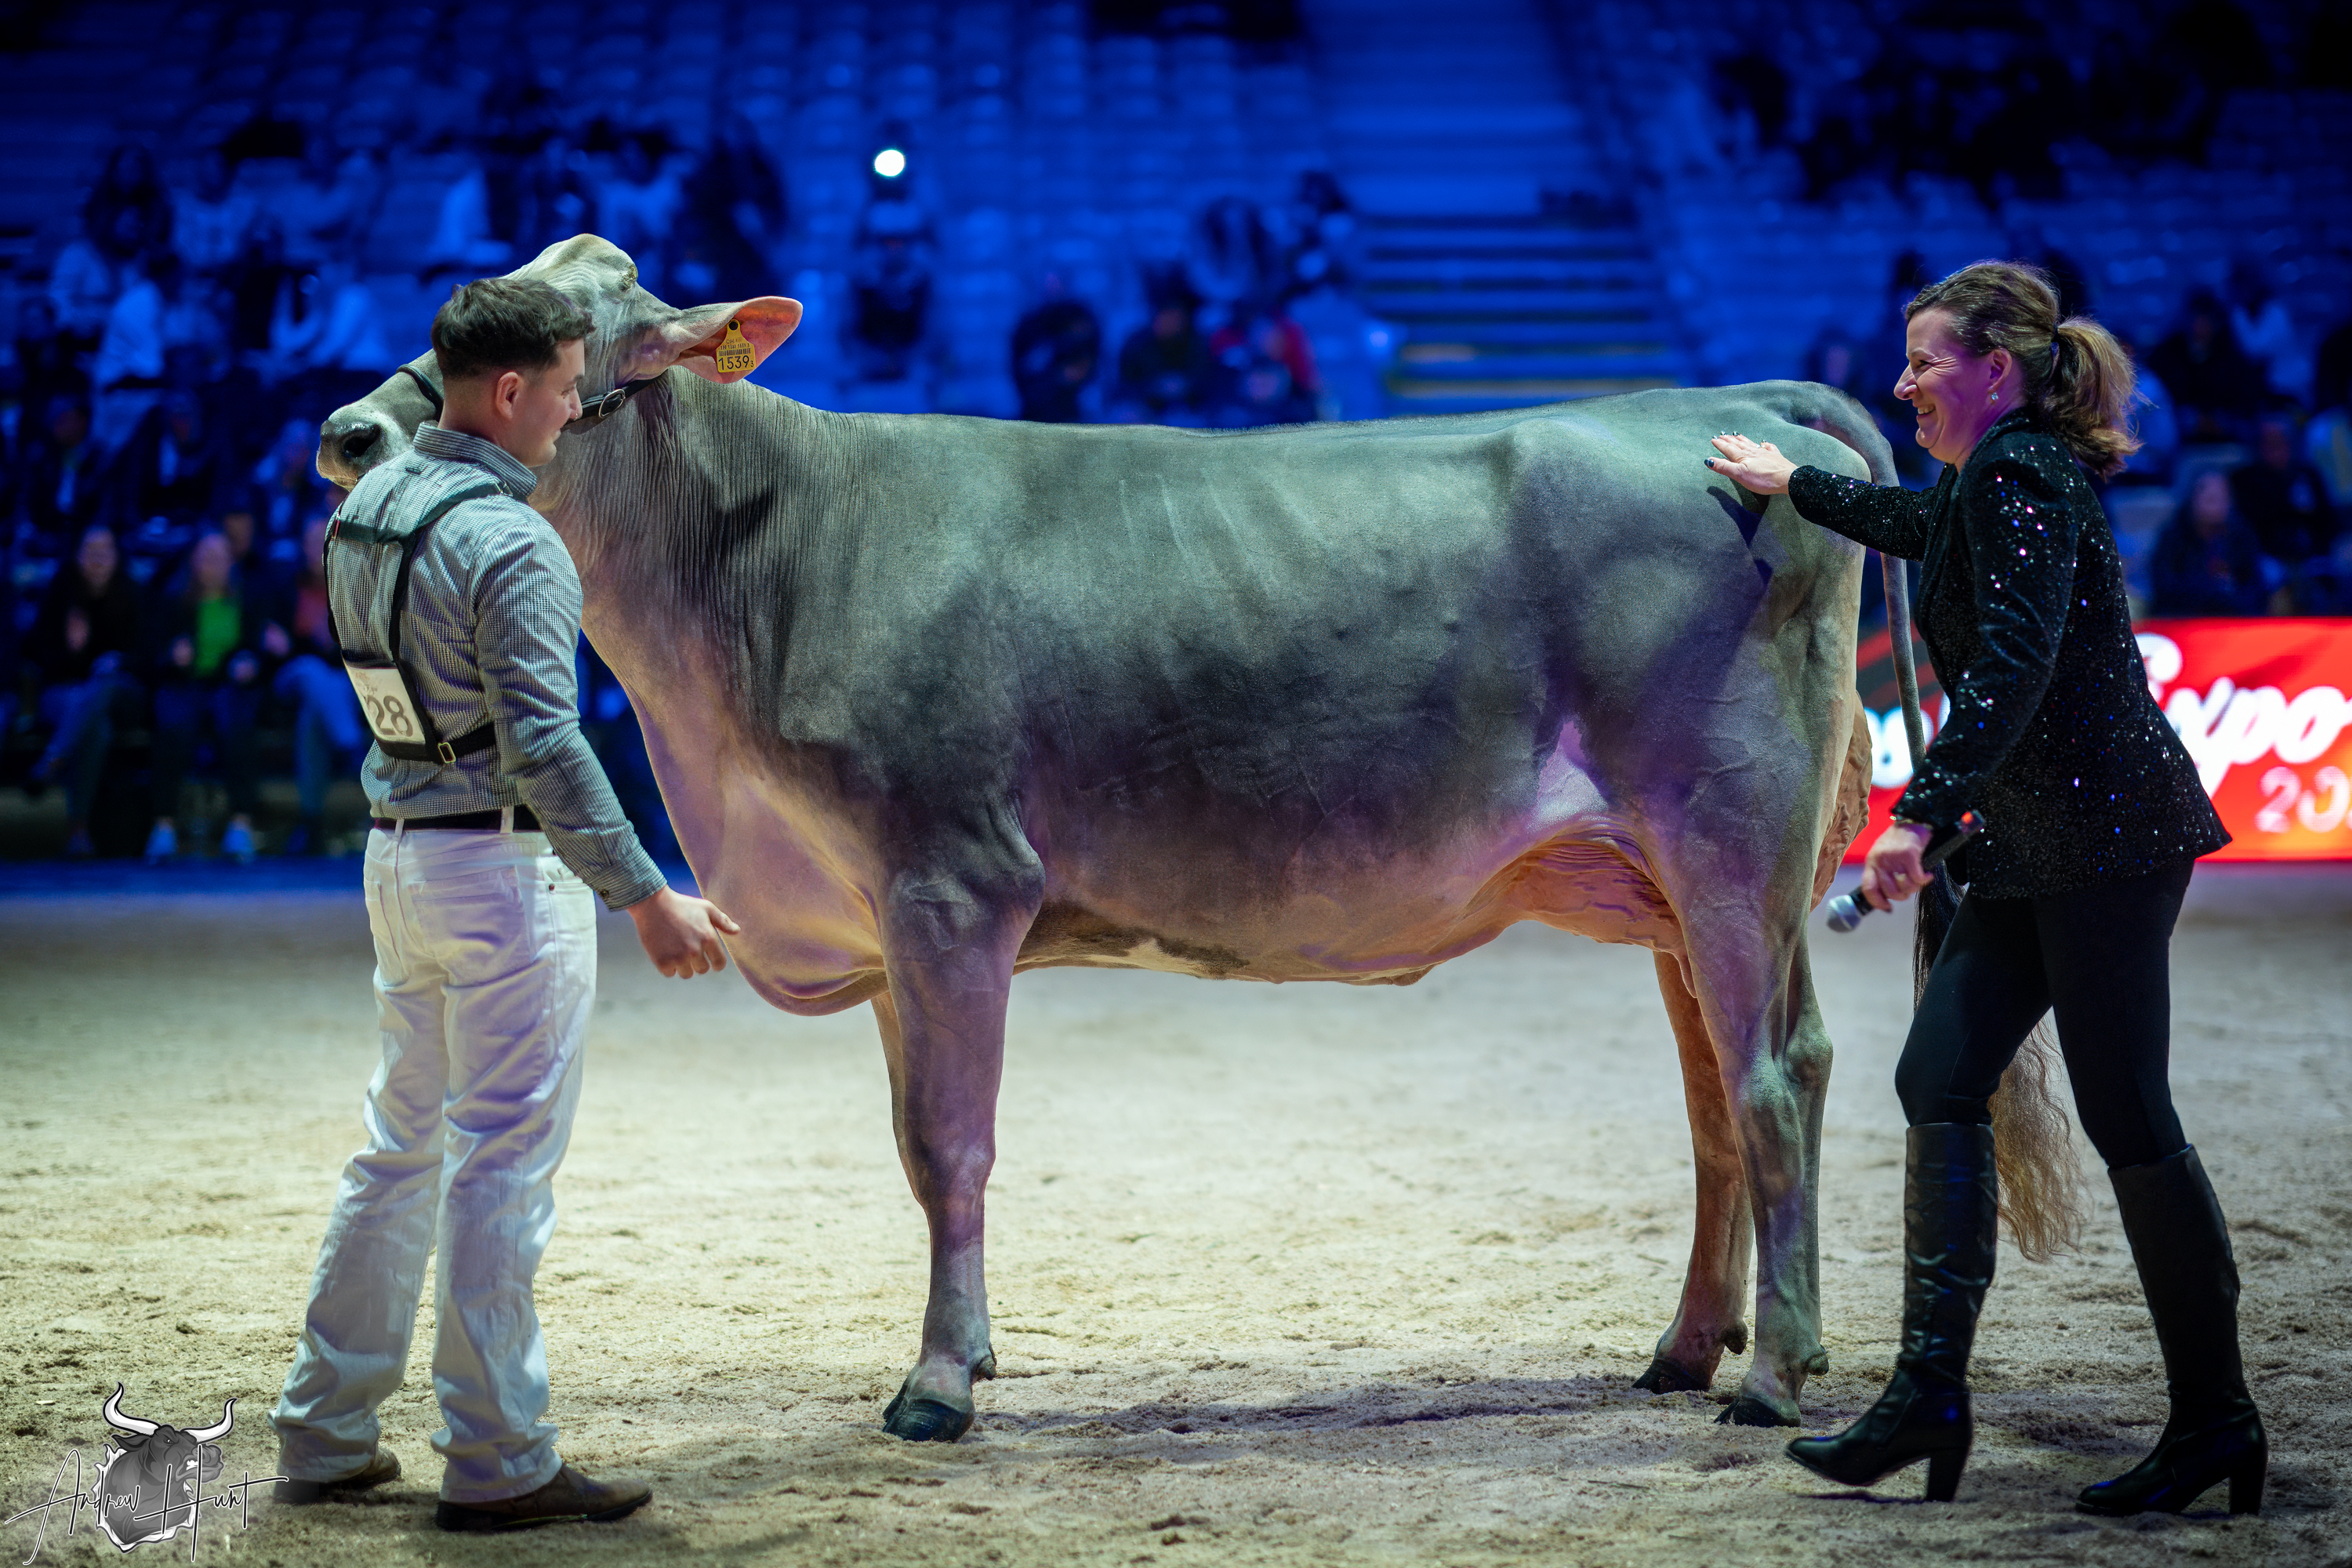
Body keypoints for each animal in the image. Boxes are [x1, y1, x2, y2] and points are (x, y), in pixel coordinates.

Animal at [317, 234, 1906, 1441]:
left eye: (559, 342)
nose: (349, 434)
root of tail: (1733, 405)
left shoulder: (952, 886)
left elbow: (951, 1143)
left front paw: (938, 1385)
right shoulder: (889, 927)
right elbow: (912, 1145)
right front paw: (970, 1350)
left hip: (1727, 840)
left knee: (1777, 1078)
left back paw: (1774, 1377)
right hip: (1670, 885)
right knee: (1714, 1103)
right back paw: (1690, 1347)